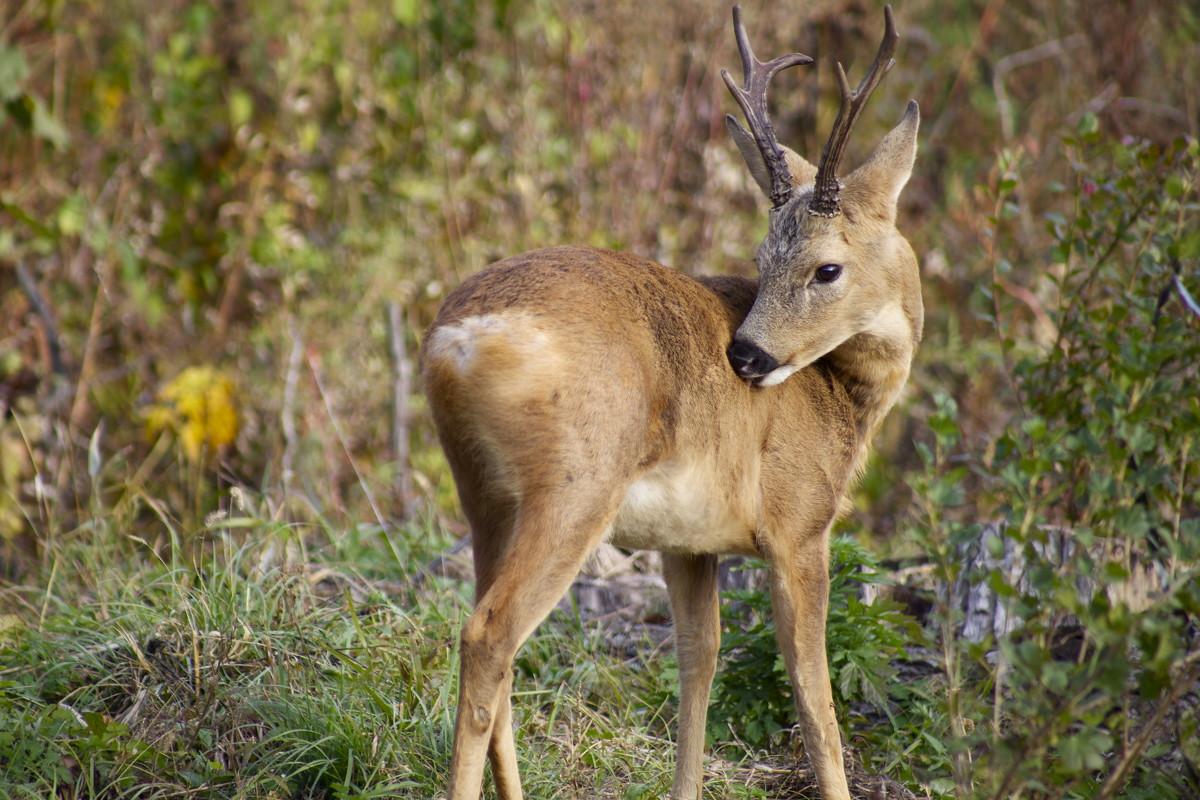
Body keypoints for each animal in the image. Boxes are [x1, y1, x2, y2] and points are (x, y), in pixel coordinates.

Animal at [422, 6, 916, 800]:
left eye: (823, 268)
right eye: (762, 260)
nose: (747, 357)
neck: (840, 396)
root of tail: (457, 339)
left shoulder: (690, 544)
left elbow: (698, 661)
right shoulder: (798, 528)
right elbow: (815, 700)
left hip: (484, 496)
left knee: (489, 637)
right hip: (575, 488)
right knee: (489, 633)